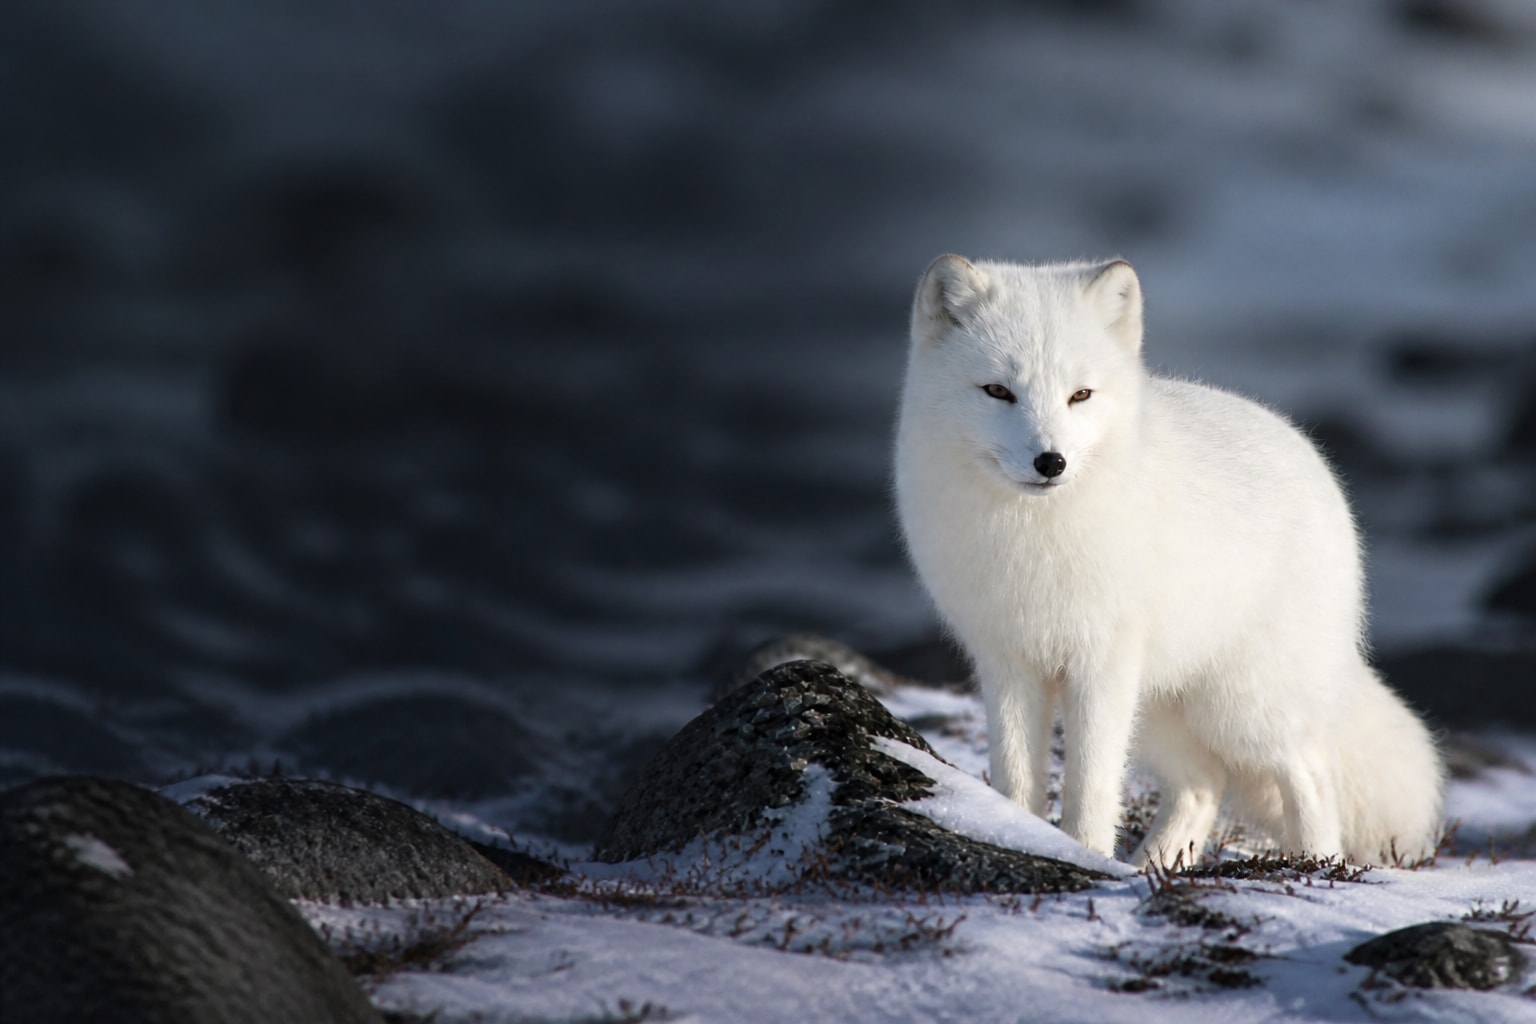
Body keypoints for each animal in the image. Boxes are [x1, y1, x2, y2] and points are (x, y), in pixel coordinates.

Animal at [893, 254, 1444, 866]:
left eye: (1081, 395)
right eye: (997, 391)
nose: (1051, 461)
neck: (1033, 536)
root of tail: (1316, 464)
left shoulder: (1101, 661)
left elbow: (1092, 785)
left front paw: (1085, 853)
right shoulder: (1008, 662)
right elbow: (1015, 774)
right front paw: (1019, 833)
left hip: (1242, 704)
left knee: (1311, 772)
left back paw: (1314, 866)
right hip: (1161, 706)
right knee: (1204, 786)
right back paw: (1153, 868)